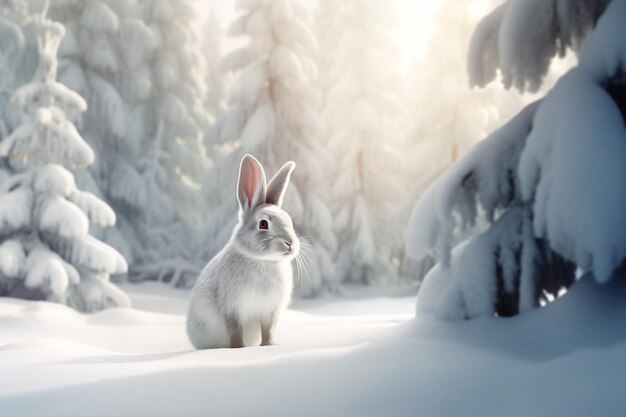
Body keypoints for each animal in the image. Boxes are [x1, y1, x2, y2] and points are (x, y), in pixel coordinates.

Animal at [186, 154, 298, 348]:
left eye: (289, 221)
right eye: (263, 224)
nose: (290, 243)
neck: (262, 260)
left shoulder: (270, 310)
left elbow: (267, 329)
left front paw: (269, 345)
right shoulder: (232, 307)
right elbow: (235, 330)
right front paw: (239, 348)